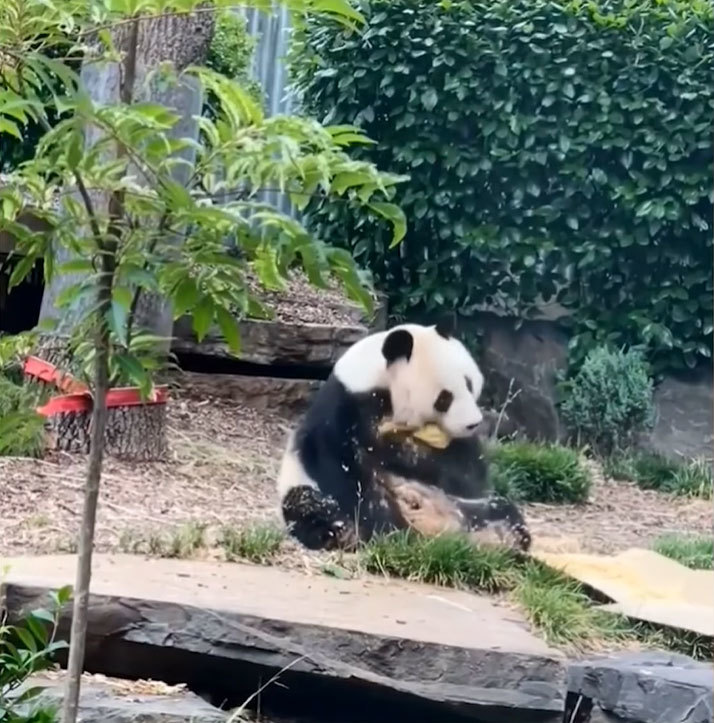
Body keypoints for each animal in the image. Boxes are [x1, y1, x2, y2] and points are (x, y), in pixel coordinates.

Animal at [276, 320, 528, 552]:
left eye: (468, 382)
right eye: (444, 398)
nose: (473, 423)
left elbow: (465, 475)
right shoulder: (343, 412)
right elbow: (348, 473)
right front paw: (390, 529)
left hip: (462, 506)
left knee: (500, 511)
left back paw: (505, 537)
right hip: (301, 485)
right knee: (309, 505)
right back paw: (341, 531)